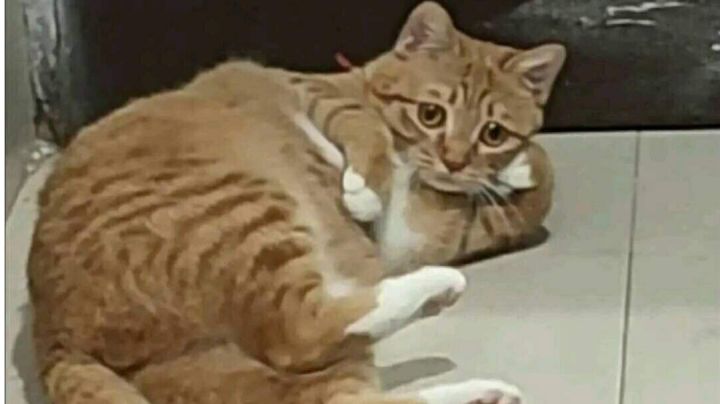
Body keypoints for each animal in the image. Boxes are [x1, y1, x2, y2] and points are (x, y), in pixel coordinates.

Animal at [28, 2, 564, 403]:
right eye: (431, 113)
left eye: (492, 133)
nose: (454, 160)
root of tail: (54, 332)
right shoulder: (315, 92)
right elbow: (365, 132)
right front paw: (366, 190)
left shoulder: (425, 234)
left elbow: (535, 188)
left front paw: (517, 169)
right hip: (248, 214)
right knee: (297, 333)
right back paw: (438, 288)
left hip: (219, 358)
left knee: (336, 390)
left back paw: (480, 391)